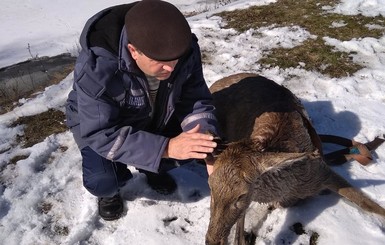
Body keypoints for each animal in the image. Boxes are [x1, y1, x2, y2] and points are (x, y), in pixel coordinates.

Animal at [206, 73, 384, 245]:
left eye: (241, 195)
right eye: (210, 187)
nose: (212, 241)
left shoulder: (321, 170)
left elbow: (367, 204)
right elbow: (239, 236)